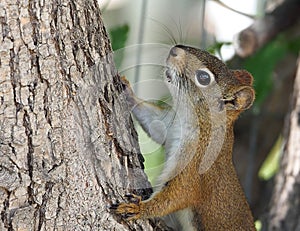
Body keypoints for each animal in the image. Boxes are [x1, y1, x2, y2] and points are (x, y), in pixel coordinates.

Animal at [112, 44, 255, 230]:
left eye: (203, 77)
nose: (175, 50)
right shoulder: (169, 127)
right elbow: (153, 123)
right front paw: (128, 91)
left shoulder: (195, 166)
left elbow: (178, 196)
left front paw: (138, 208)